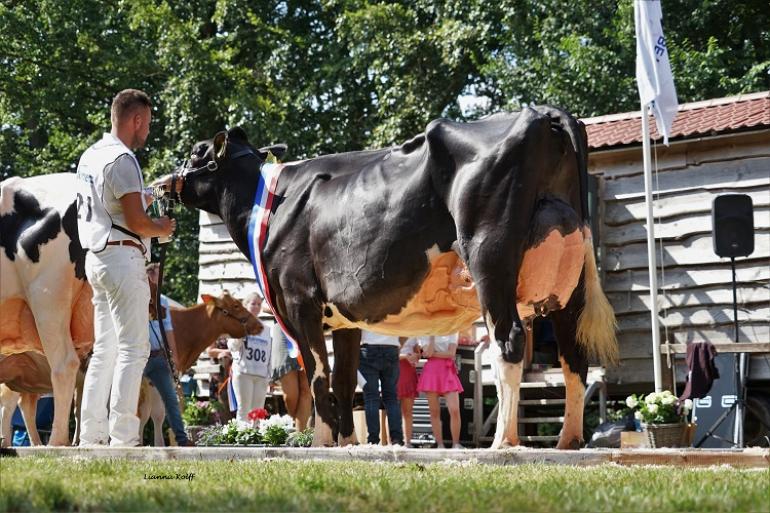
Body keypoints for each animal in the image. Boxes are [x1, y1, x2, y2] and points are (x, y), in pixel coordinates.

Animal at [162, 107, 616, 448]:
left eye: (197, 151)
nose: (165, 181)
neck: (271, 203)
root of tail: (541, 113)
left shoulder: (299, 301)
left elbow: (318, 377)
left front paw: (321, 443)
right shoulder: (344, 319)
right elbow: (345, 380)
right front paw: (348, 444)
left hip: (490, 259)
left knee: (510, 341)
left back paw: (504, 442)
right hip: (571, 280)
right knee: (574, 356)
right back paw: (569, 441)